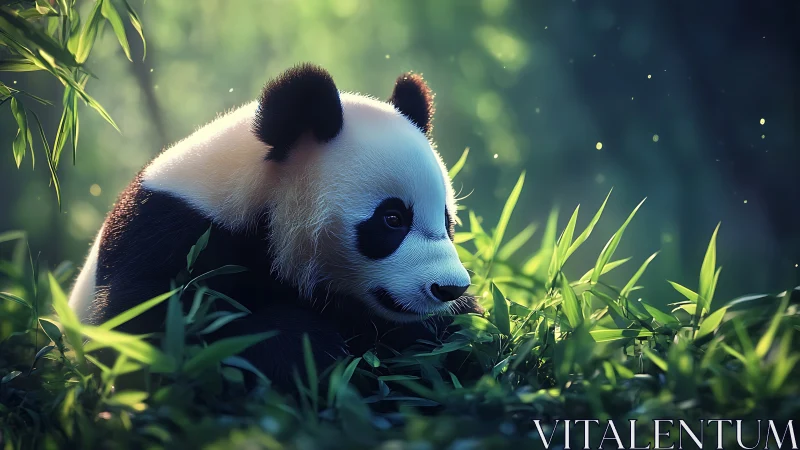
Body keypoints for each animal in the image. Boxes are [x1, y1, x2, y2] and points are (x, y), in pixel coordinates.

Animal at [68, 63, 482, 390]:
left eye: (447, 221)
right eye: (392, 219)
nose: (449, 288)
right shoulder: (169, 236)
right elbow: (148, 336)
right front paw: (305, 345)